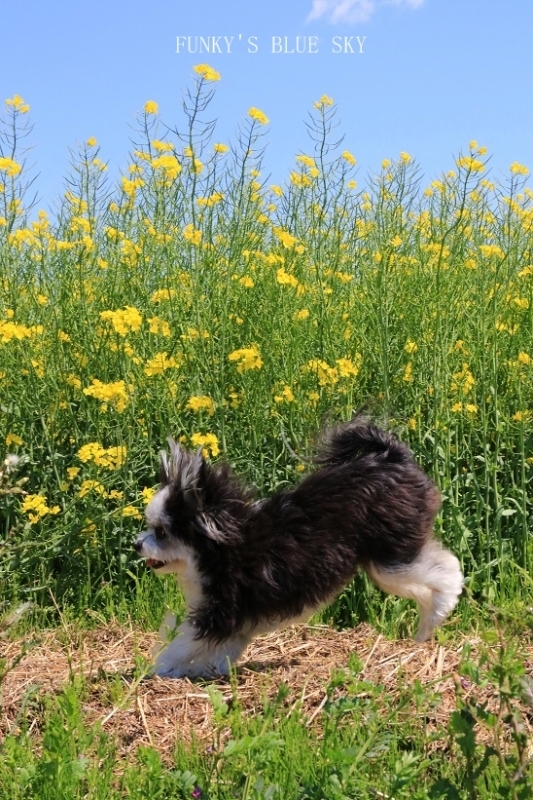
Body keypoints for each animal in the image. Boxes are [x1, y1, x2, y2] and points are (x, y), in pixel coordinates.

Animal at [133, 416, 462, 680]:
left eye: (161, 532)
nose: (137, 544)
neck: (217, 549)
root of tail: (393, 457)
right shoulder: (234, 623)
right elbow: (217, 651)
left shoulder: (219, 614)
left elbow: (180, 644)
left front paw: (159, 669)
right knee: (431, 576)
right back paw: (426, 629)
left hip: (389, 559)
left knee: (449, 571)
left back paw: (439, 611)